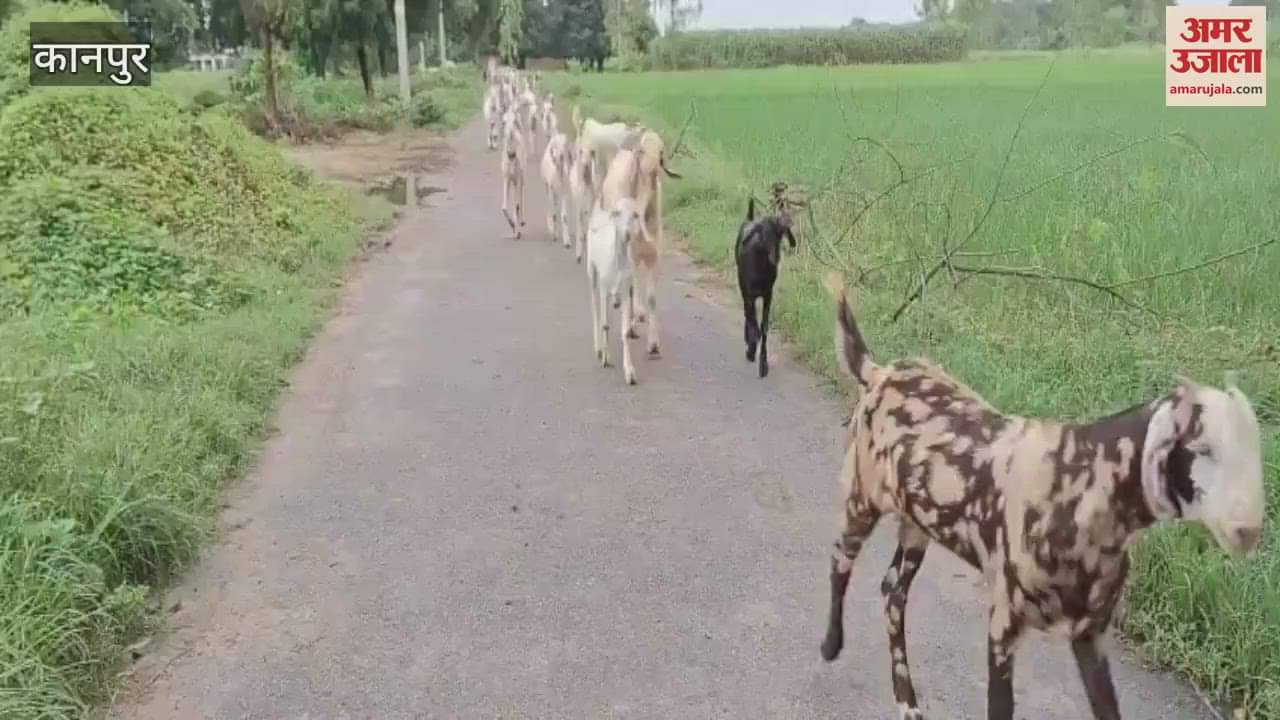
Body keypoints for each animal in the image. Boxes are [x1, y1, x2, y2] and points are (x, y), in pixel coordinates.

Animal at [586, 196, 646, 386]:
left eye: (635, 215)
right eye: (618, 213)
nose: (627, 234)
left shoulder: (626, 289)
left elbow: (625, 331)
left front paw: (630, 371)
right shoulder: (604, 288)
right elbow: (605, 325)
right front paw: (606, 358)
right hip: (592, 272)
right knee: (595, 309)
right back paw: (599, 348)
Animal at [734, 196, 796, 378]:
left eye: (781, 234)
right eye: (763, 234)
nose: (775, 257)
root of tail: (750, 218)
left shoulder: (768, 295)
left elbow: (764, 328)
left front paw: (763, 364)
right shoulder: (749, 293)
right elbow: (753, 322)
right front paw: (751, 349)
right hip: (744, 290)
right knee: (748, 315)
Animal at [819, 274, 1266, 720]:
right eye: (1202, 448)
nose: (1248, 529)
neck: (1080, 480)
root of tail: (877, 371)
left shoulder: (1090, 636)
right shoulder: (1004, 624)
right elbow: (1001, 707)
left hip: (917, 525)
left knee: (893, 591)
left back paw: (907, 700)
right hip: (861, 499)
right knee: (841, 561)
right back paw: (830, 645)